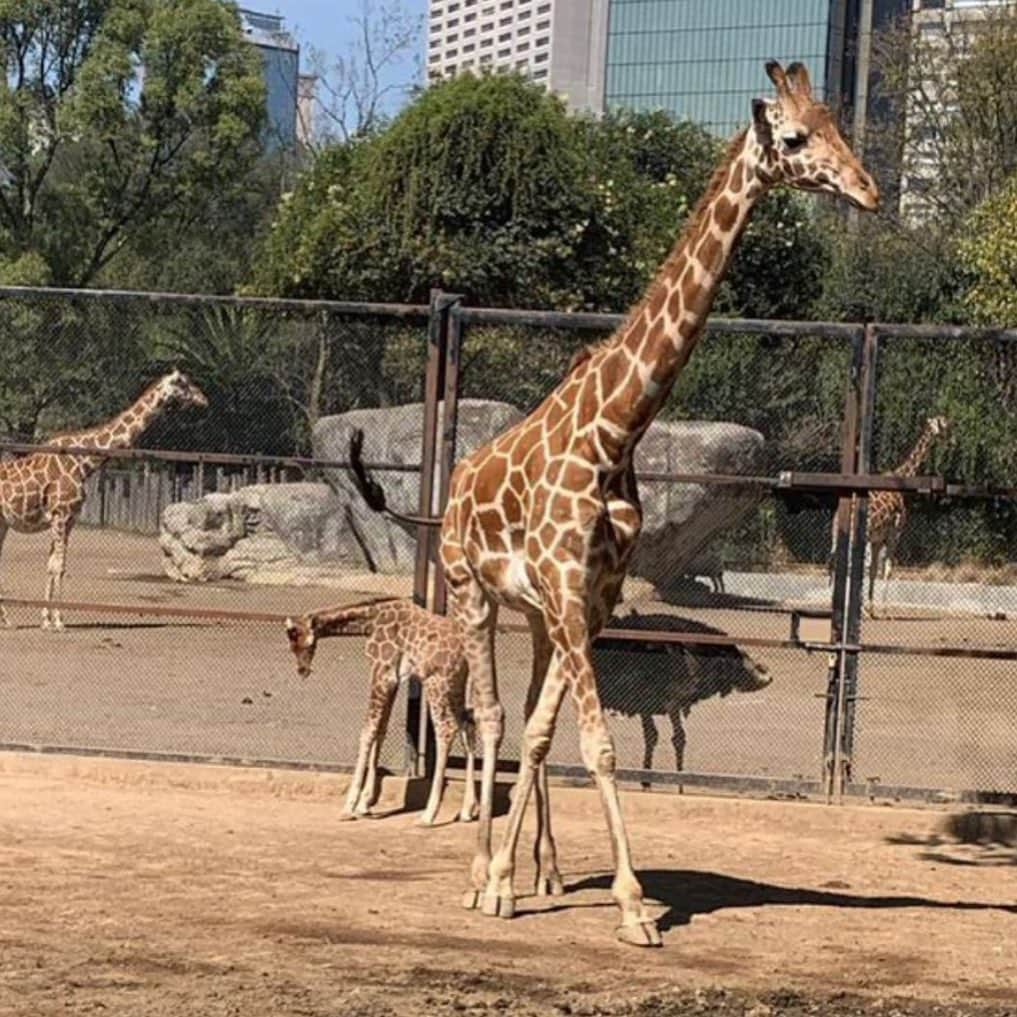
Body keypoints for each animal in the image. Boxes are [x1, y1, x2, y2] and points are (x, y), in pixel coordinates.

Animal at [284, 593, 477, 825]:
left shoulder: (381, 673)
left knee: (446, 729)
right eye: (291, 644)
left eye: (300, 640)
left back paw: (428, 815)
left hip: (436, 682)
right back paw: (467, 810)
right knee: (467, 726)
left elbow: (368, 731)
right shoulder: (393, 679)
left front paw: (349, 807)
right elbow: (381, 731)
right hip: (457, 685)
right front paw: (365, 804)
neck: (371, 621)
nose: (302, 671)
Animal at [349, 59, 874, 939]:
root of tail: (453, 487)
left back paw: (540, 870)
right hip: (471, 592)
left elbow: (554, 733)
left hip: (535, 615)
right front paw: (624, 903)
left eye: (840, 125)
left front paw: (528, 877)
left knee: (524, 721)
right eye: (797, 138)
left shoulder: (587, 598)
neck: (616, 429)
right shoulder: (562, 593)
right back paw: (476, 870)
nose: (867, 190)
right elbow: (587, 741)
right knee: (488, 716)